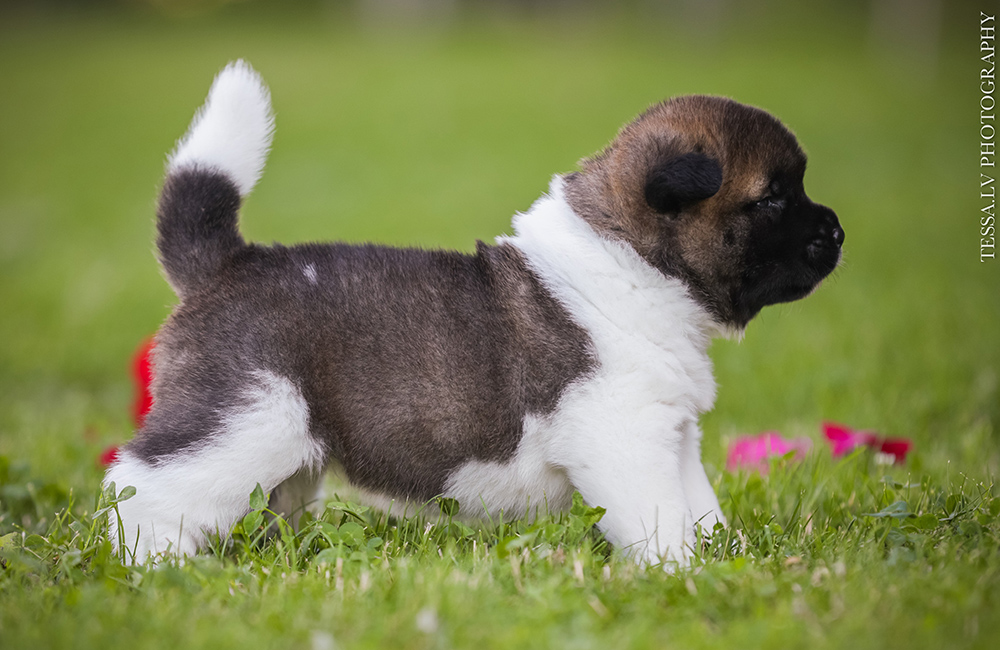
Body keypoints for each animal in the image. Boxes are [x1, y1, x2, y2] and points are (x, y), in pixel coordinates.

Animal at [105, 63, 844, 564]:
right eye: (774, 199)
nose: (838, 232)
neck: (634, 259)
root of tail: (227, 264)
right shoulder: (624, 435)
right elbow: (658, 517)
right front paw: (680, 574)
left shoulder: (674, 433)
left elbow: (698, 505)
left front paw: (724, 561)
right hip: (244, 418)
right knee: (144, 482)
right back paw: (150, 565)